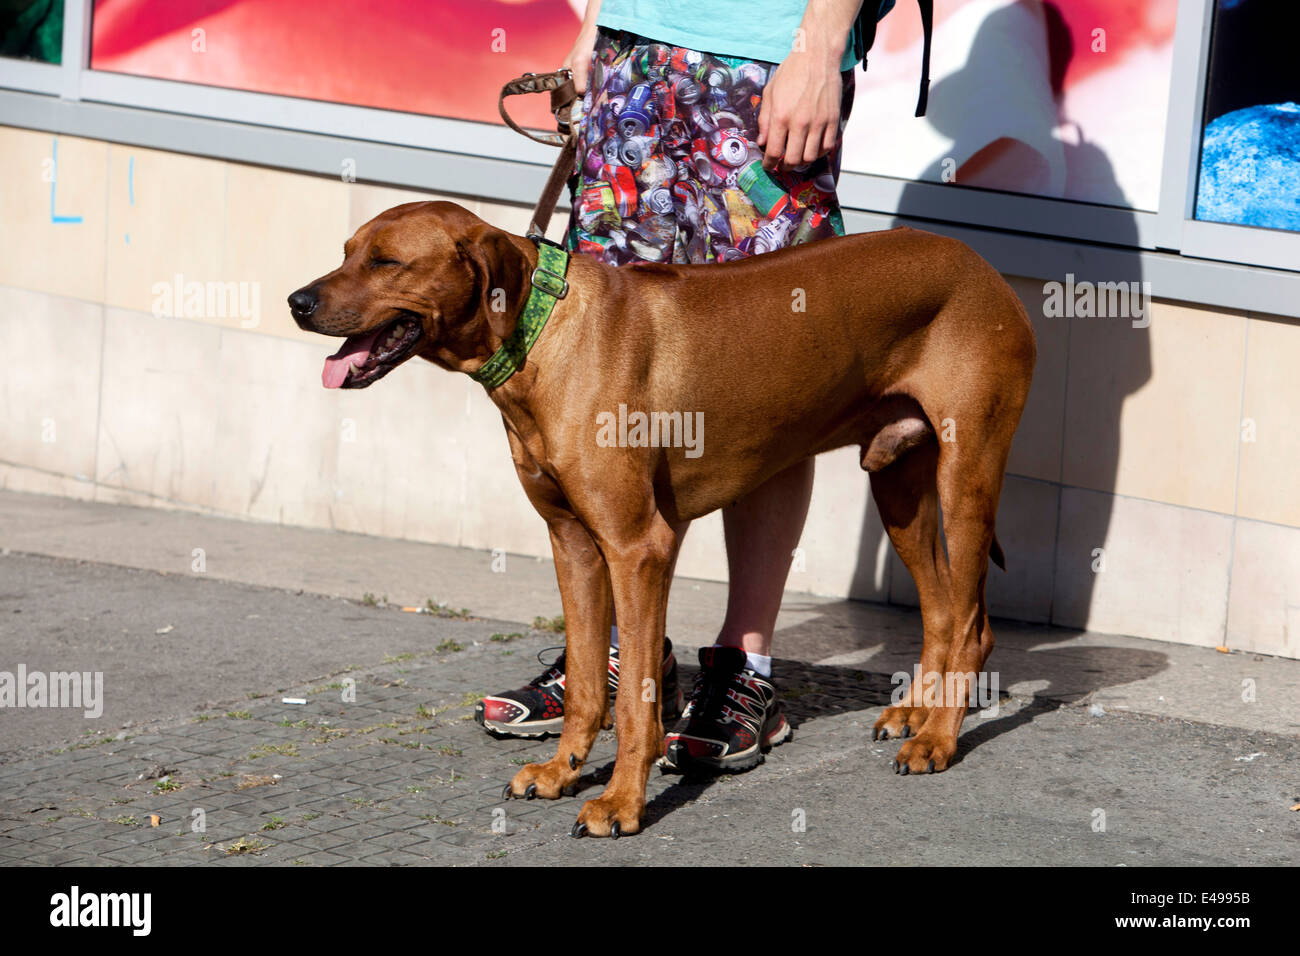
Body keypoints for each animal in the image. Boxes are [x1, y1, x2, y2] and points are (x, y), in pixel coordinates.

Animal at [292, 200, 1034, 837]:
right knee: (944, 609)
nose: (297, 302)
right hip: (897, 478)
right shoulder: (574, 544)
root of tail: (982, 266)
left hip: (967, 476)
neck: (544, 333)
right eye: (346, 252)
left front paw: (620, 803)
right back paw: (916, 713)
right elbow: (587, 682)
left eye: (387, 262)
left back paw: (938, 739)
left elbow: (634, 704)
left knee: (970, 622)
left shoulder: (638, 546)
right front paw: (562, 772)